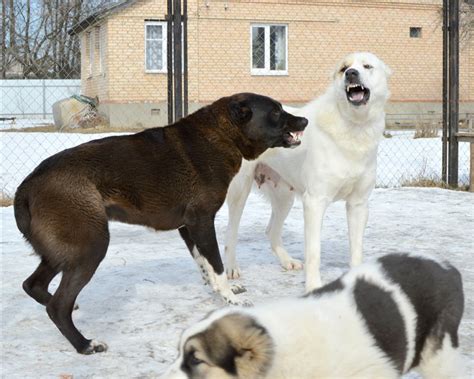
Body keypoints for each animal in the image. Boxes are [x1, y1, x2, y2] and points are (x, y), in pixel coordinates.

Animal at [13, 93, 308, 354]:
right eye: (276, 112)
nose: (304, 120)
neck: (221, 135)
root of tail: (27, 185)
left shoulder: (188, 227)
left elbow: (204, 263)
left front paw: (216, 288)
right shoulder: (202, 221)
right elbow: (217, 264)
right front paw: (230, 298)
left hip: (64, 252)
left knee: (33, 285)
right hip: (90, 247)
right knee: (57, 306)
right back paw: (85, 345)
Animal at [224, 52, 390, 290]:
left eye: (367, 66)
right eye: (343, 68)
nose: (351, 74)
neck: (353, 126)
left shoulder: (358, 204)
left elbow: (356, 249)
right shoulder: (315, 202)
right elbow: (314, 251)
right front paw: (313, 286)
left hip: (284, 197)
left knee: (271, 231)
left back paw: (287, 261)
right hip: (240, 192)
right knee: (231, 233)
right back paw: (231, 268)